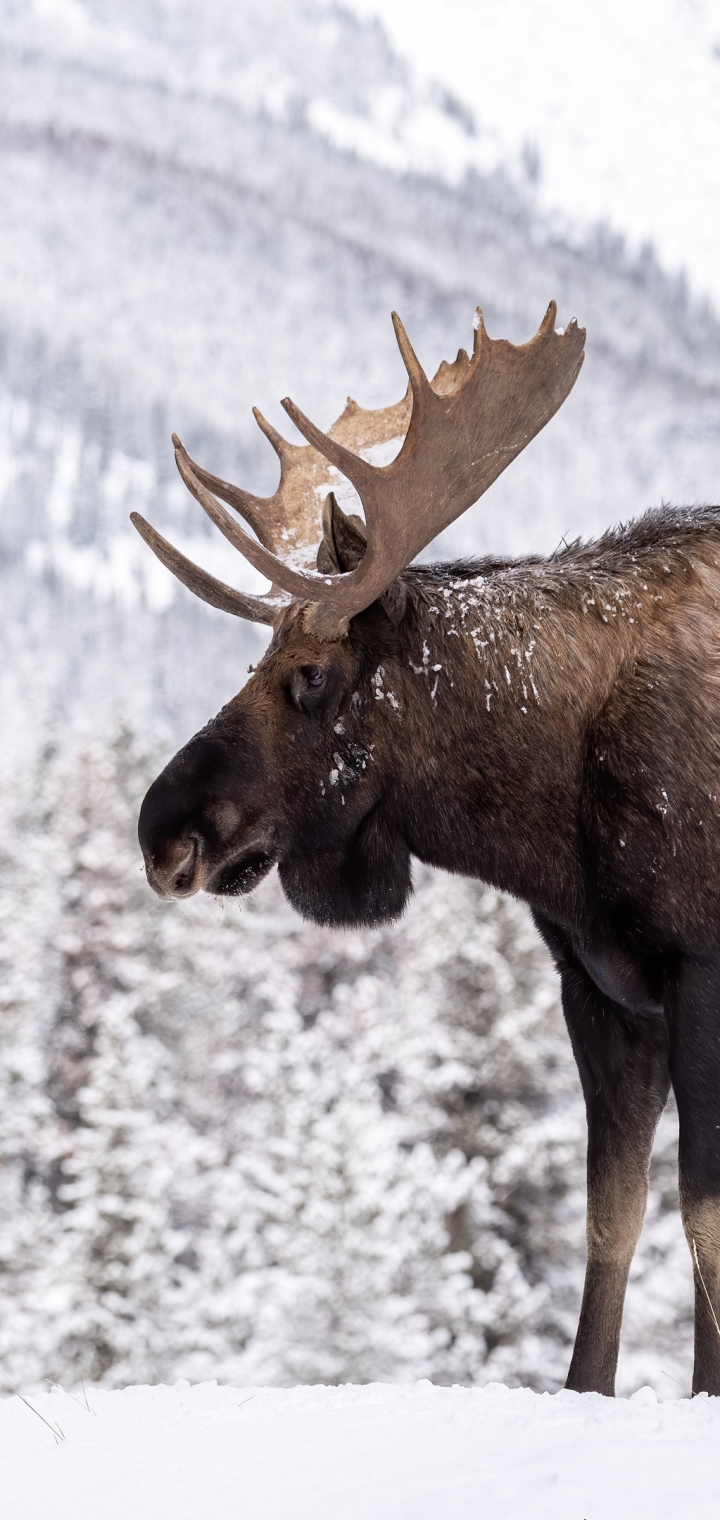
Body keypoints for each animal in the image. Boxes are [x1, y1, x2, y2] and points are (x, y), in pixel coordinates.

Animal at [132, 300, 720, 1398]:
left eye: (311, 675)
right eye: (258, 659)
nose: (161, 829)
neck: (553, 818)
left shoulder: (701, 968)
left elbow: (701, 1215)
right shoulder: (602, 988)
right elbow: (610, 1220)